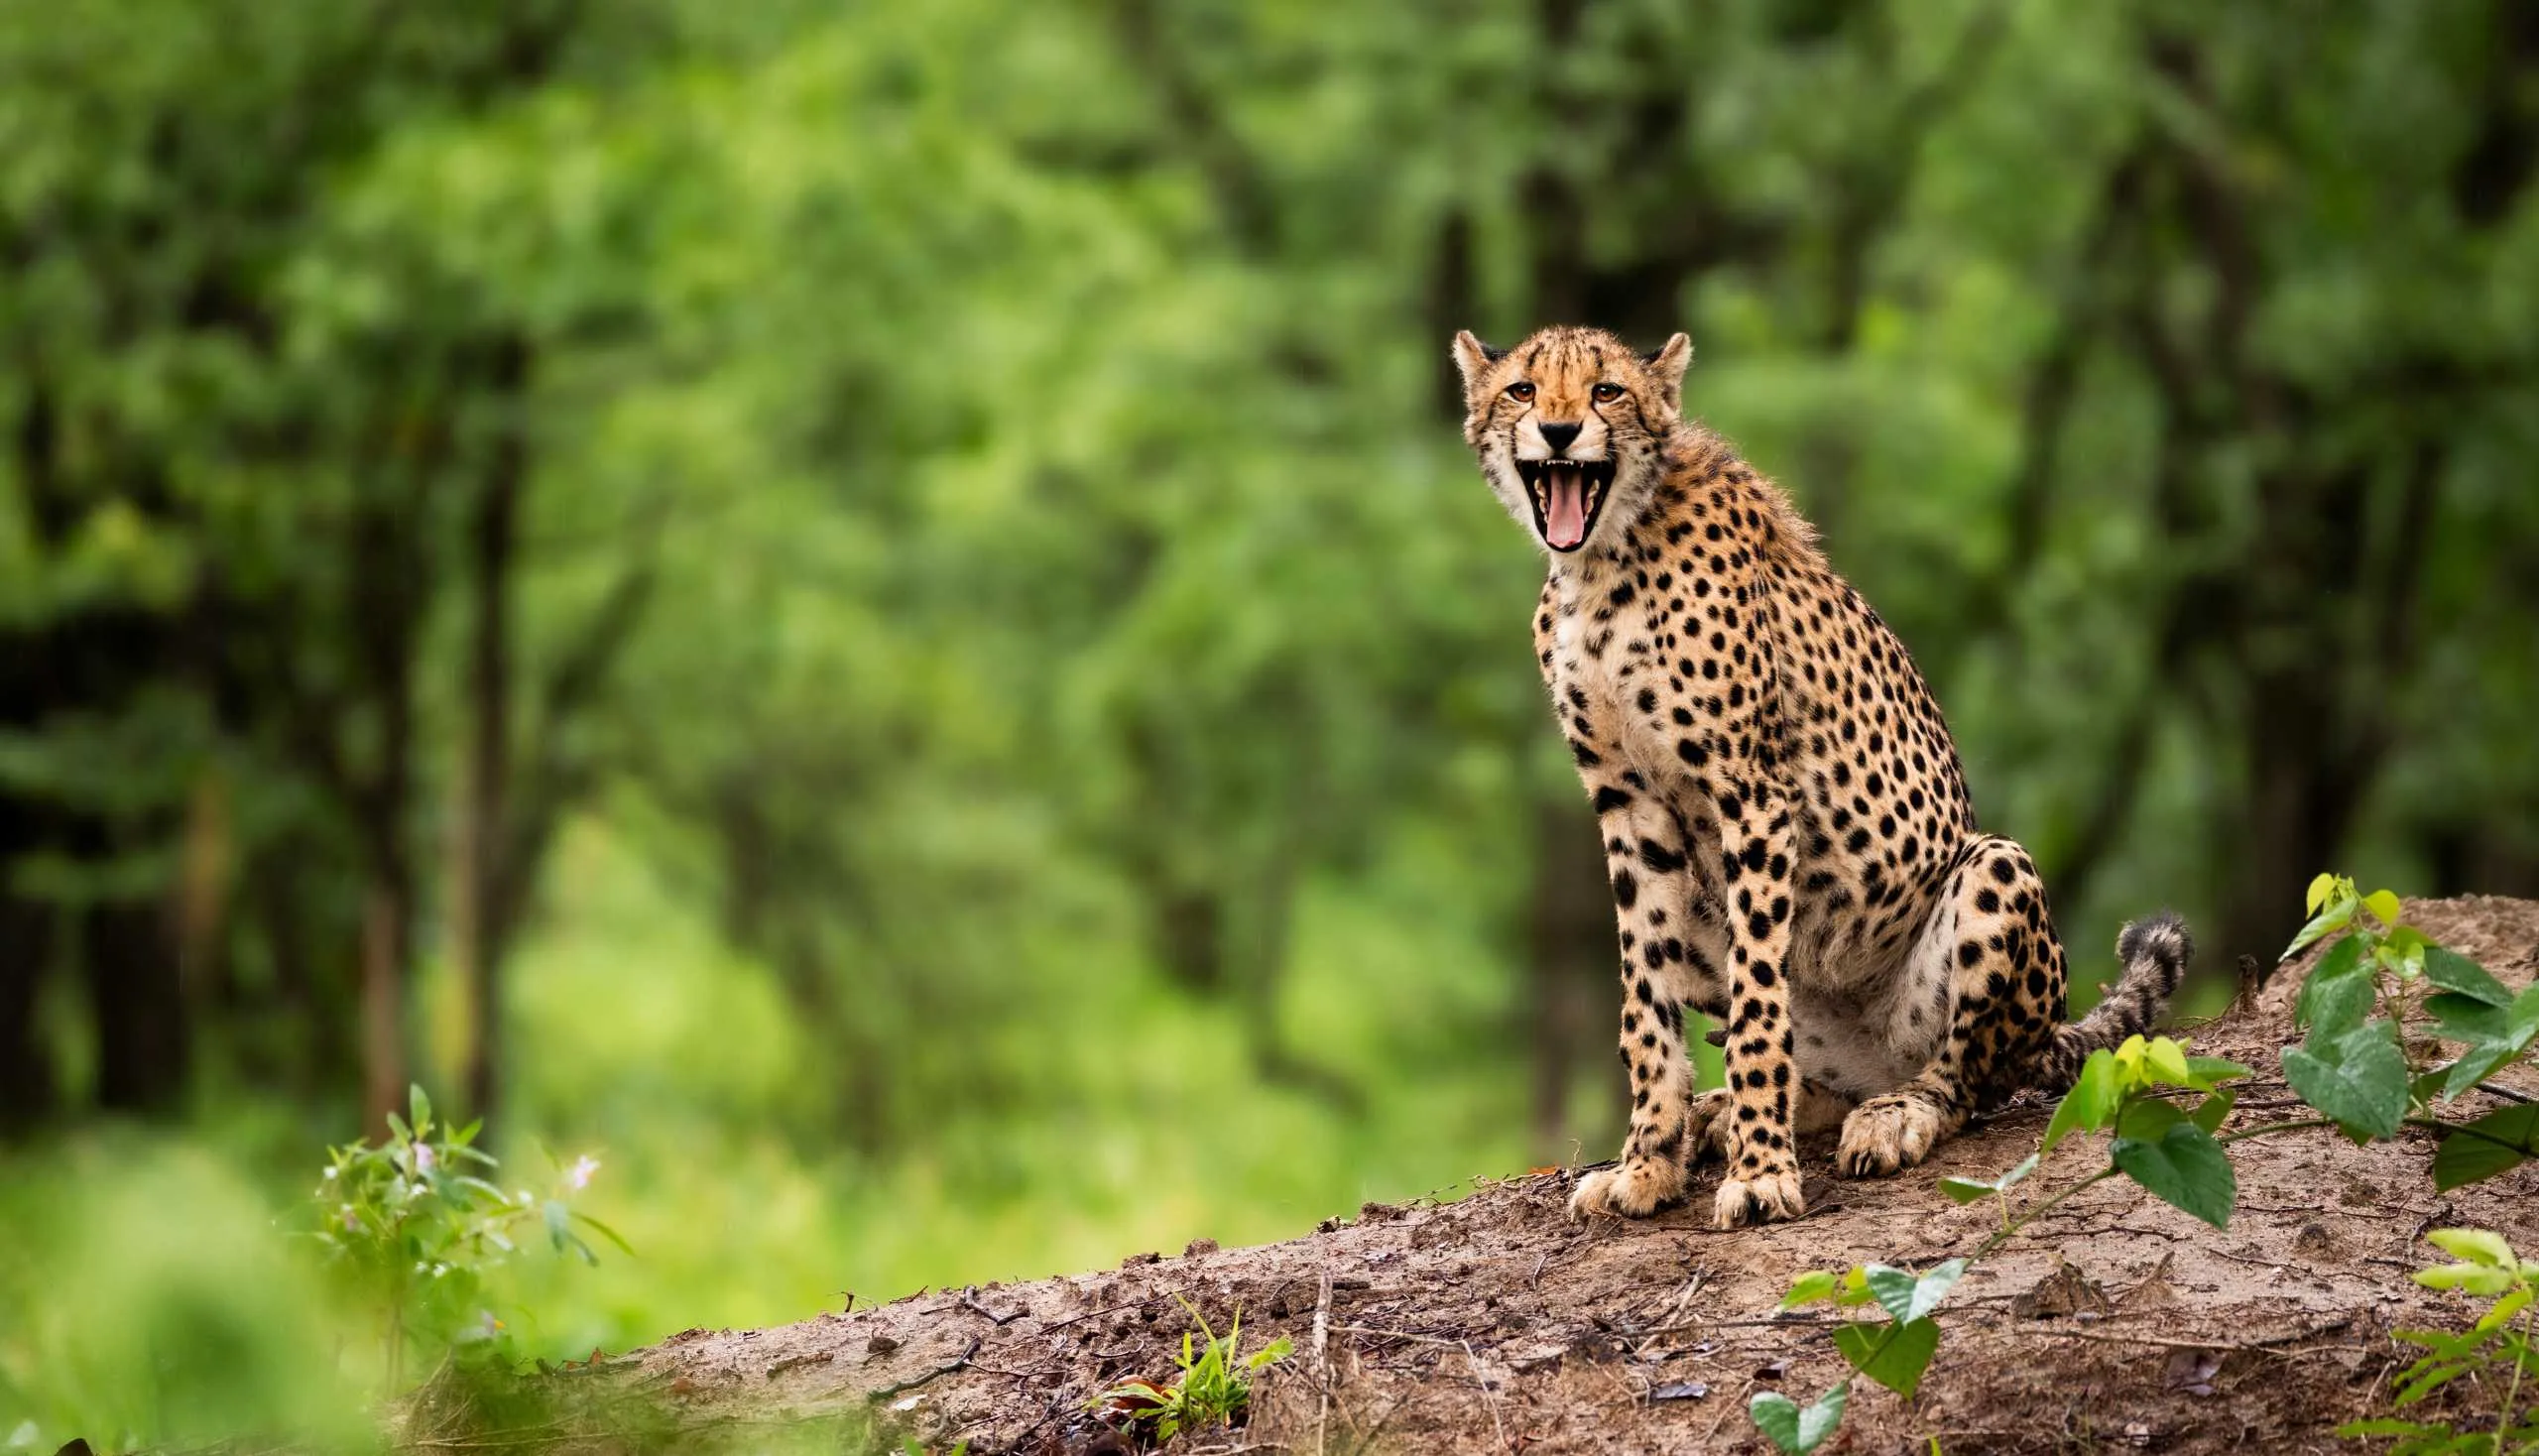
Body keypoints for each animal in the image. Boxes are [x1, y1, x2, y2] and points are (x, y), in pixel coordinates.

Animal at [1452, 323, 2190, 1230]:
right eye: (1522, 390)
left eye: (1607, 392)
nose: (1558, 432)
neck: (1600, 564)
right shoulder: (1627, 803)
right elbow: (1644, 999)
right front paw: (1648, 1163)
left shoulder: (1753, 792)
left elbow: (1761, 1005)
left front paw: (1762, 1174)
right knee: (1818, 1069)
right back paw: (1740, 1113)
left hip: (1994, 870)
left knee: (1966, 1077)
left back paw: (1887, 1115)